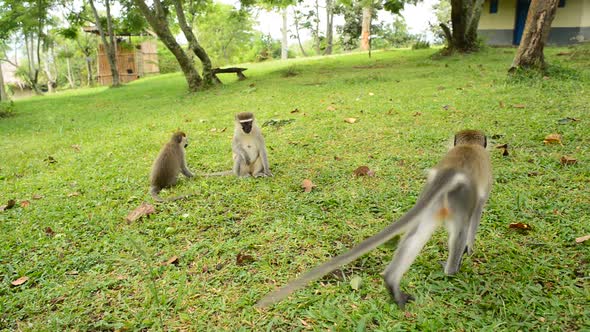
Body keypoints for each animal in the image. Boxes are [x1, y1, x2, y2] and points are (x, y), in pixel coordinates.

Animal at [256, 130, 492, 308]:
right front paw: (470, 249)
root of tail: (449, 174)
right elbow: (478, 212)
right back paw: (451, 271)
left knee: (417, 233)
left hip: (434, 202)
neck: (470, 146)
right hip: (458, 199)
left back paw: (392, 284)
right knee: (460, 230)